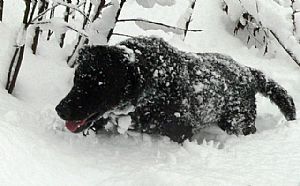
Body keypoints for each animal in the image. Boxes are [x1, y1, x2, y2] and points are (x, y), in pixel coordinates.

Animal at [55, 36, 296, 142]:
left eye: (99, 85)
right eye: (77, 79)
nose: (60, 109)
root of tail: (248, 71)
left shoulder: (181, 132)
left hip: (238, 124)